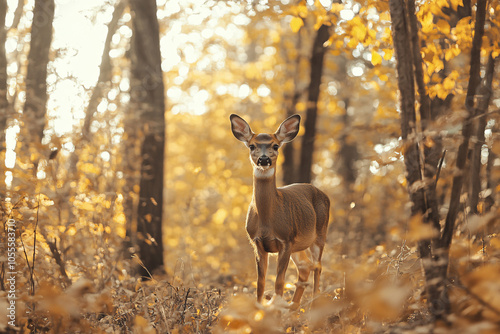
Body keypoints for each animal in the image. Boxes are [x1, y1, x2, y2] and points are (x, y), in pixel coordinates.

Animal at [231, 113, 332, 310]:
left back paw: (313, 305)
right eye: (252, 145)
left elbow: (279, 281)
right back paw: (293, 306)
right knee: (305, 266)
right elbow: (260, 282)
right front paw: (260, 308)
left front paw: (275, 306)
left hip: (320, 234)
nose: (263, 160)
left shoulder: (286, 240)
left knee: (317, 266)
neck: (267, 221)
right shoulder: (257, 243)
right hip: (299, 245)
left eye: (275, 145)